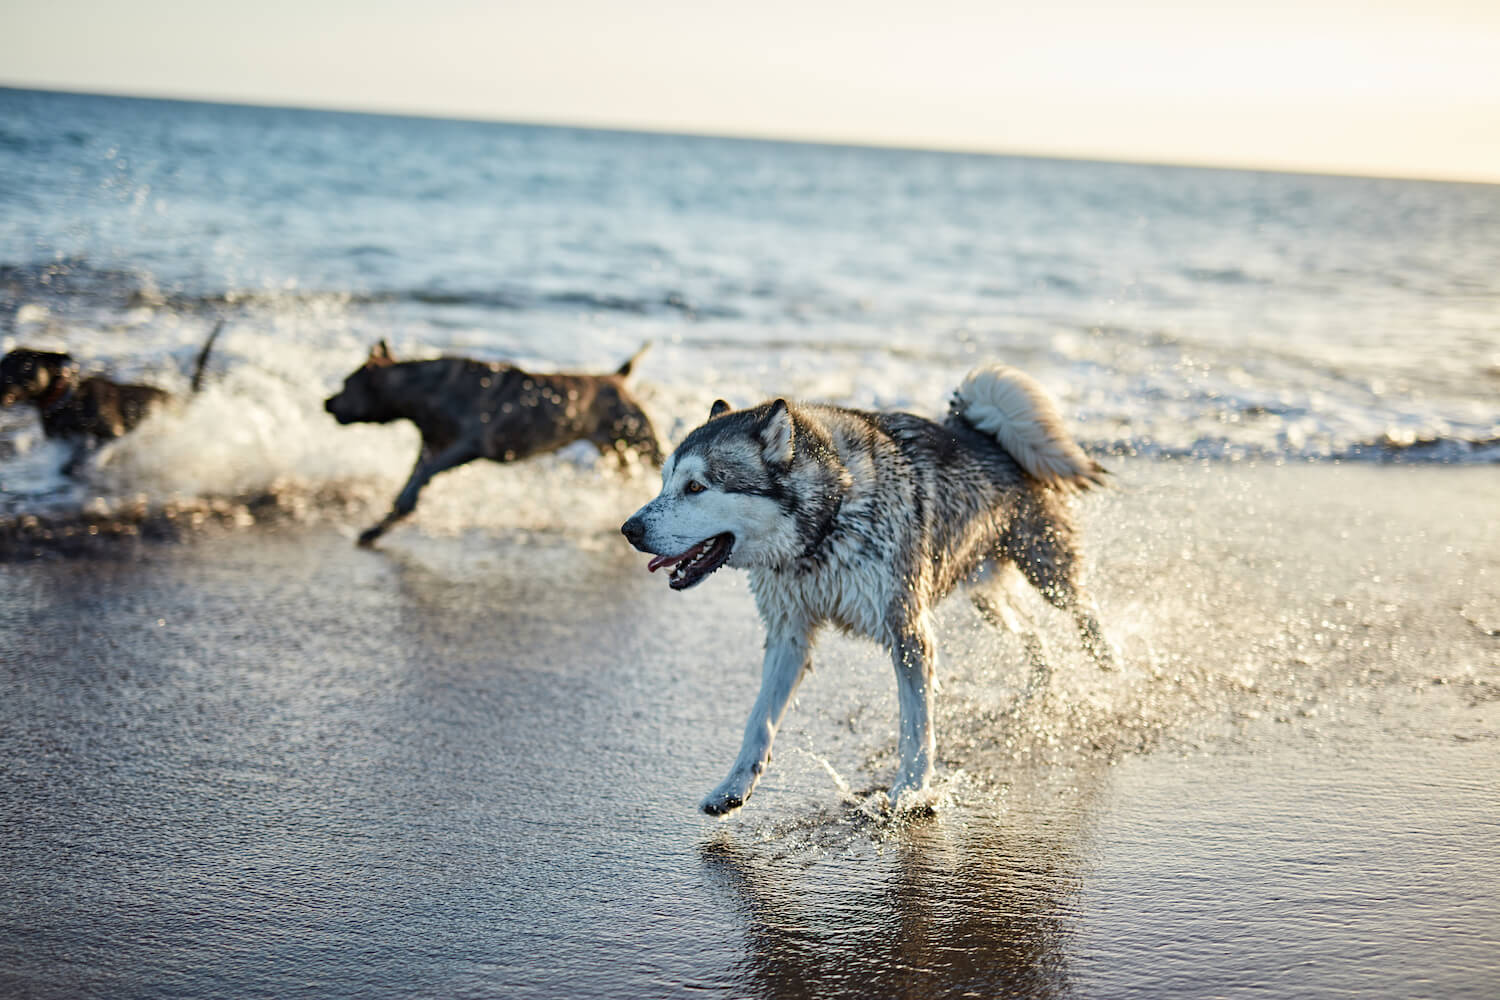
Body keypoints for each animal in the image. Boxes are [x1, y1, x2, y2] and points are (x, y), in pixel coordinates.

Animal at [1, 325, 222, 473]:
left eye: (24, 366)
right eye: (3, 364)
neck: (66, 399)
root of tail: (182, 399)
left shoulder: (111, 434)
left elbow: (86, 454)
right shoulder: (63, 442)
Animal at [325, 341, 660, 548]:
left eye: (345, 384)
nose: (327, 401)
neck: (422, 389)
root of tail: (617, 379)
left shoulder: (466, 446)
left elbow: (422, 477)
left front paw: (401, 509)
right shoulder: (430, 448)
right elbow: (410, 483)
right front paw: (380, 525)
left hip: (641, 443)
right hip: (617, 453)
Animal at [621, 364, 1116, 815]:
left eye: (696, 486)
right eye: (664, 483)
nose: (629, 529)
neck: (829, 520)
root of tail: (980, 430)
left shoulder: (908, 630)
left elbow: (916, 726)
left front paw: (911, 790)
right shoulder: (789, 634)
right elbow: (759, 721)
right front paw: (733, 787)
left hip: (1045, 568)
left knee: (1082, 602)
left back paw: (1108, 653)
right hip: (984, 594)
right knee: (1028, 627)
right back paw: (1043, 676)